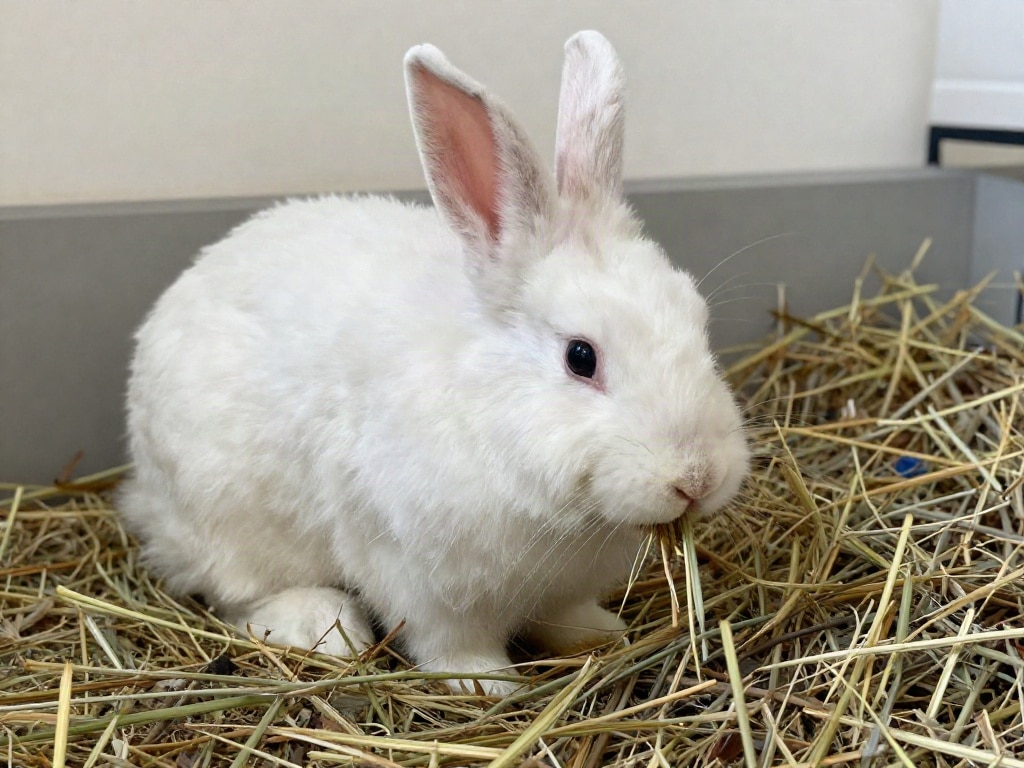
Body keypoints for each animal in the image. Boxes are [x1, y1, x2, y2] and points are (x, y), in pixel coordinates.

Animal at [120, 30, 750, 695]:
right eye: (581, 357)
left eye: (699, 321)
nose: (696, 479)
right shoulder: (421, 580)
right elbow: (450, 644)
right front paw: (491, 685)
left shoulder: (557, 590)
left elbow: (562, 616)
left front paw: (600, 635)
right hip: (230, 519)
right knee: (236, 593)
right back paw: (325, 626)